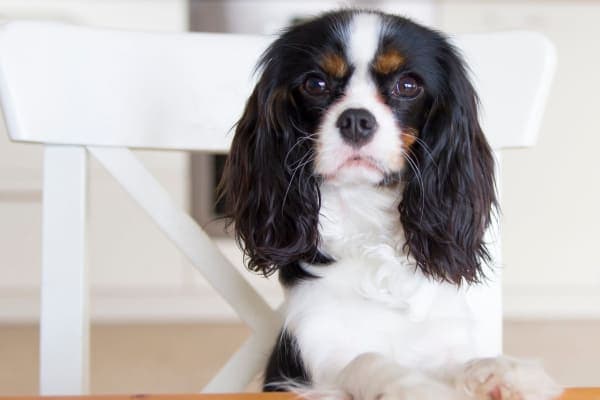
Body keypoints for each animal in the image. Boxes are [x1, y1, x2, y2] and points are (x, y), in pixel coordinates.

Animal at [219, 8, 564, 400]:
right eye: (315, 84)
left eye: (408, 86)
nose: (356, 119)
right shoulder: (312, 363)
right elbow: (367, 359)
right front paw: (416, 387)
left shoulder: (438, 343)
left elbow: (460, 363)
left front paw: (505, 373)